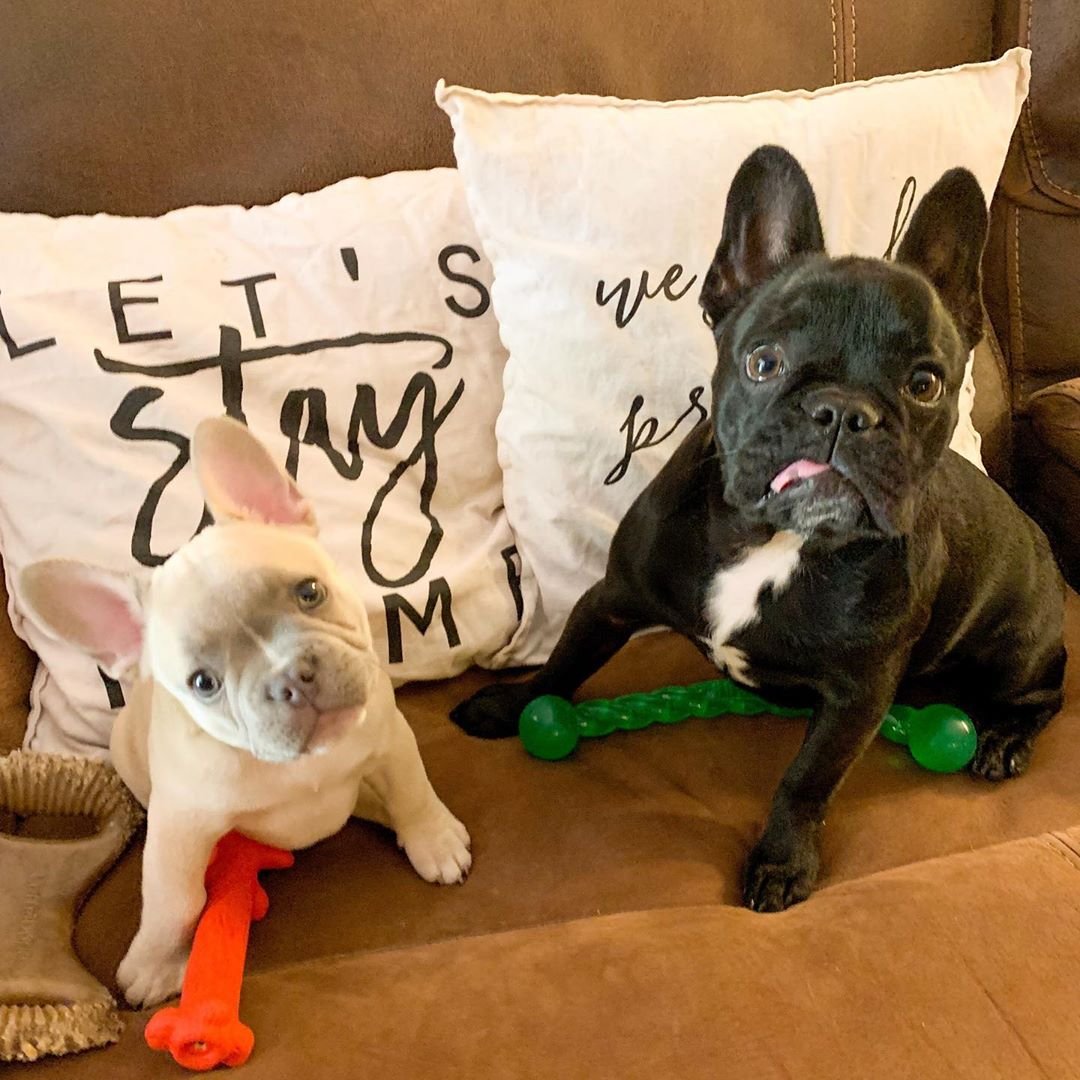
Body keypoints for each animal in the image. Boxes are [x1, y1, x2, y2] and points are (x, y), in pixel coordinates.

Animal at [19, 416, 468, 1006]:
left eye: (309, 592)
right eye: (203, 683)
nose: (291, 680)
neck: (299, 765)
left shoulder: (390, 739)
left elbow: (413, 790)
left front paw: (433, 840)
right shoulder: (180, 825)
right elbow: (174, 899)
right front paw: (155, 962)